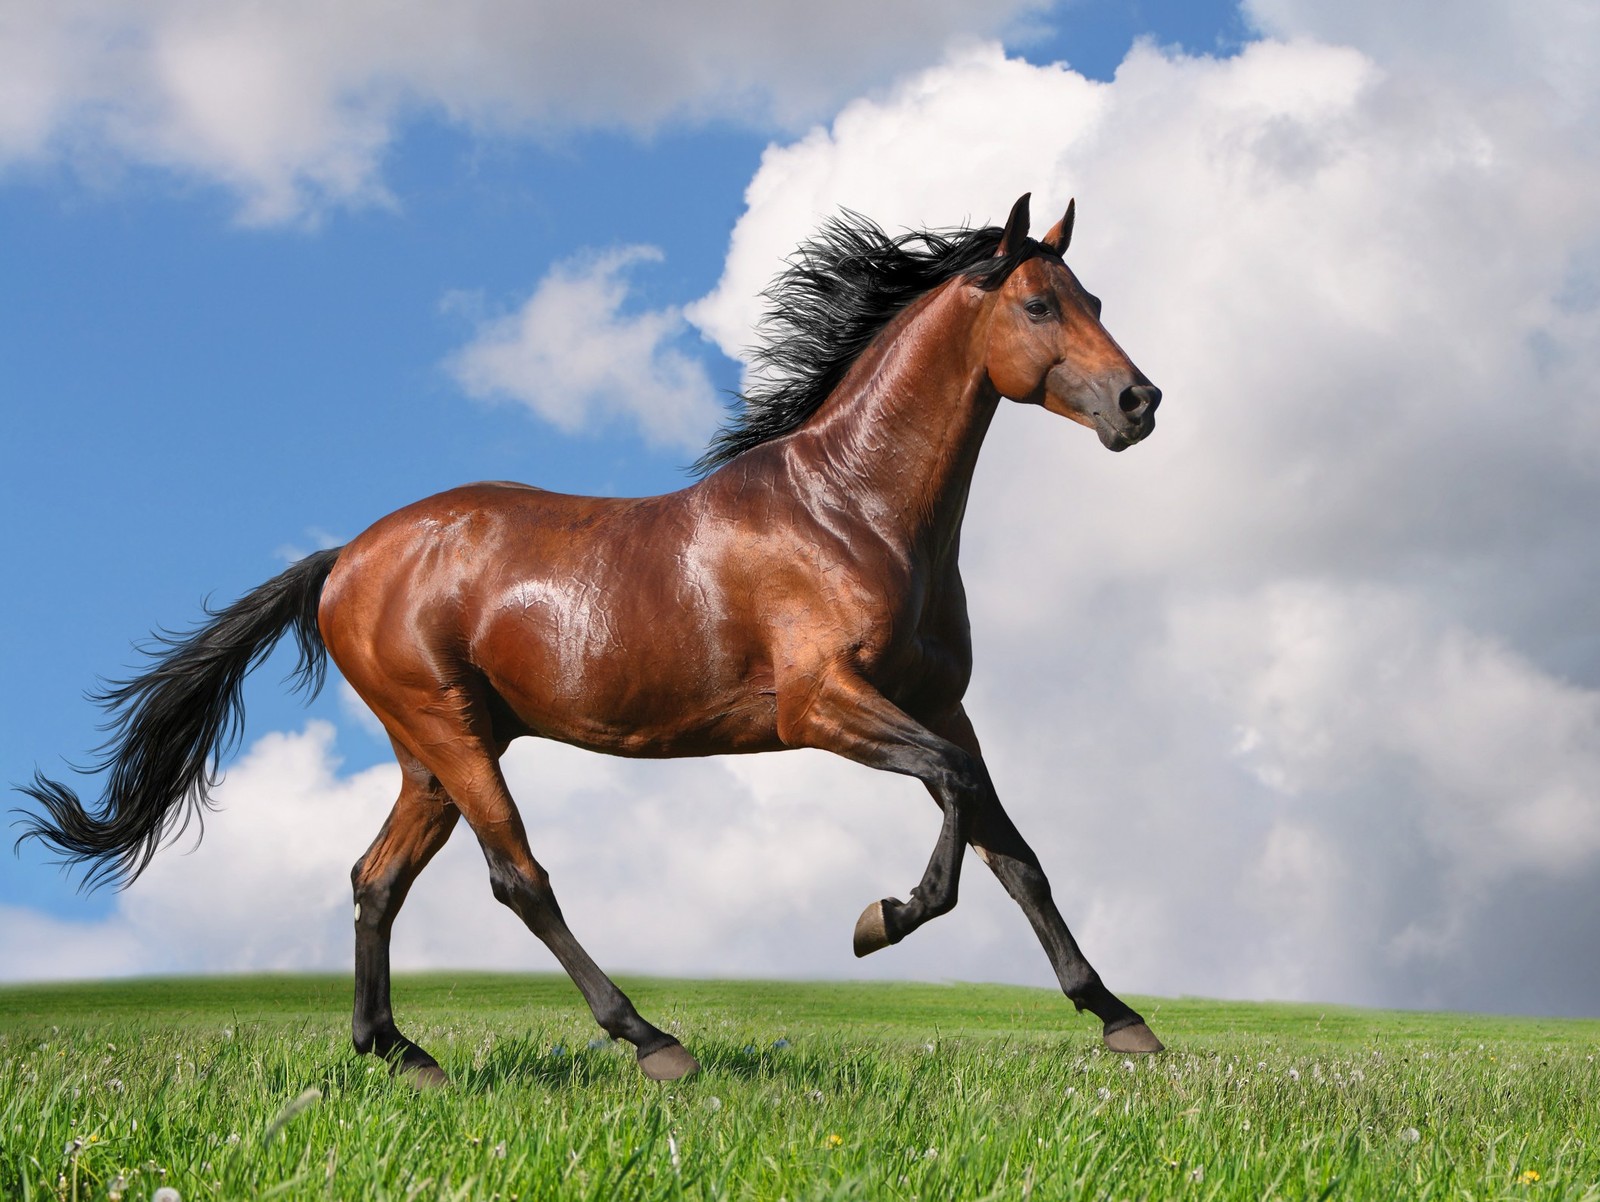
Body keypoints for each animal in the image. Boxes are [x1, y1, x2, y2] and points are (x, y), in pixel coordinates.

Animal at [12, 192, 1164, 1088]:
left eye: (1096, 301)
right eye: (1038, 302)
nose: (1139, 400)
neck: (853, 510)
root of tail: (345, 558)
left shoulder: (939, 702)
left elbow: (1013, 848)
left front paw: (1120, 1019)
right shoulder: (823, 706)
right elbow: (959, 804)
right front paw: (880, 918)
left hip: (433, 752)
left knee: (375, 878)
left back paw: (401, 1053)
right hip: (450, 731)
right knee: (517, 877)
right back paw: (652, 1041)